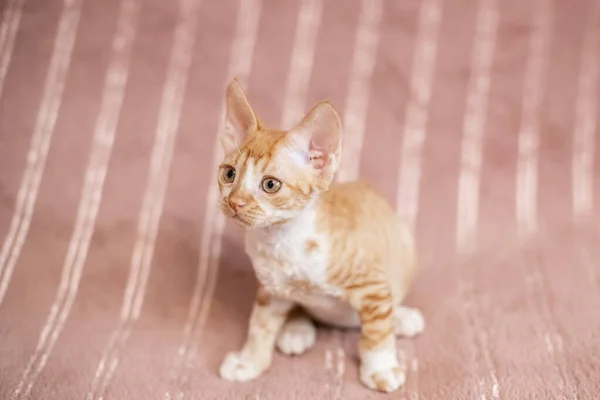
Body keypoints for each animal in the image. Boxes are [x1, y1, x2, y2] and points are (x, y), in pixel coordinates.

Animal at [216, 79, 422, 394]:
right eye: (229, 174)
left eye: (270, 185)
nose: (234, 202)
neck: (282, 240)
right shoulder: (270, 287)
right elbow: (260, 325)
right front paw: (249, 362)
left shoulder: (372, 284)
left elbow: (376, 332)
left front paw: (381, 369)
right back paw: (295, 329)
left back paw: (402, 318)